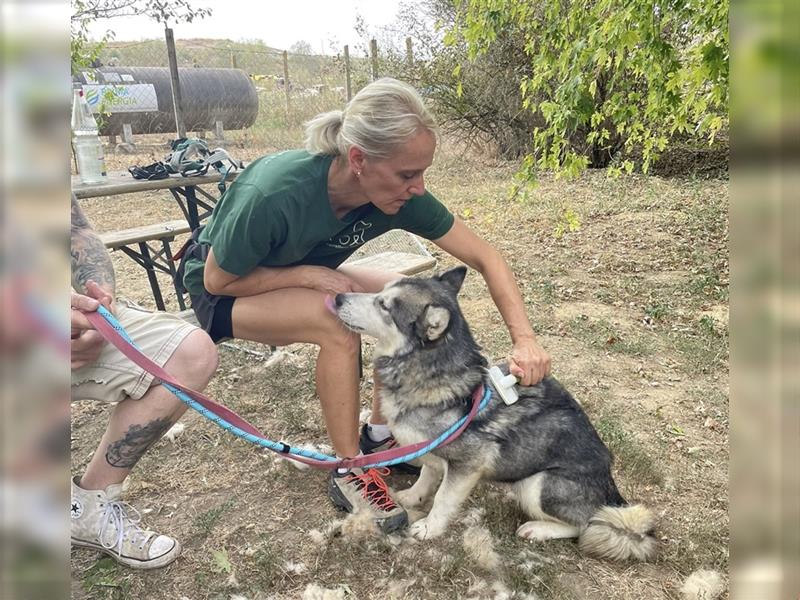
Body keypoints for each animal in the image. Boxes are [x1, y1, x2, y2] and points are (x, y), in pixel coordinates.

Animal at [330, 268, 656, 564]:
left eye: (384, 305)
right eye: (381, 292)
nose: (337, 297)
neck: (432, 374)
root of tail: (611, 491)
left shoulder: (468, 465)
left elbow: (443, 498)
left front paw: (430, 528)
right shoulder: (433, 449)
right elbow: (428, 475)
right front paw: (412, 497)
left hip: (537, 485)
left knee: (585, 526)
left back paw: (539, 529)